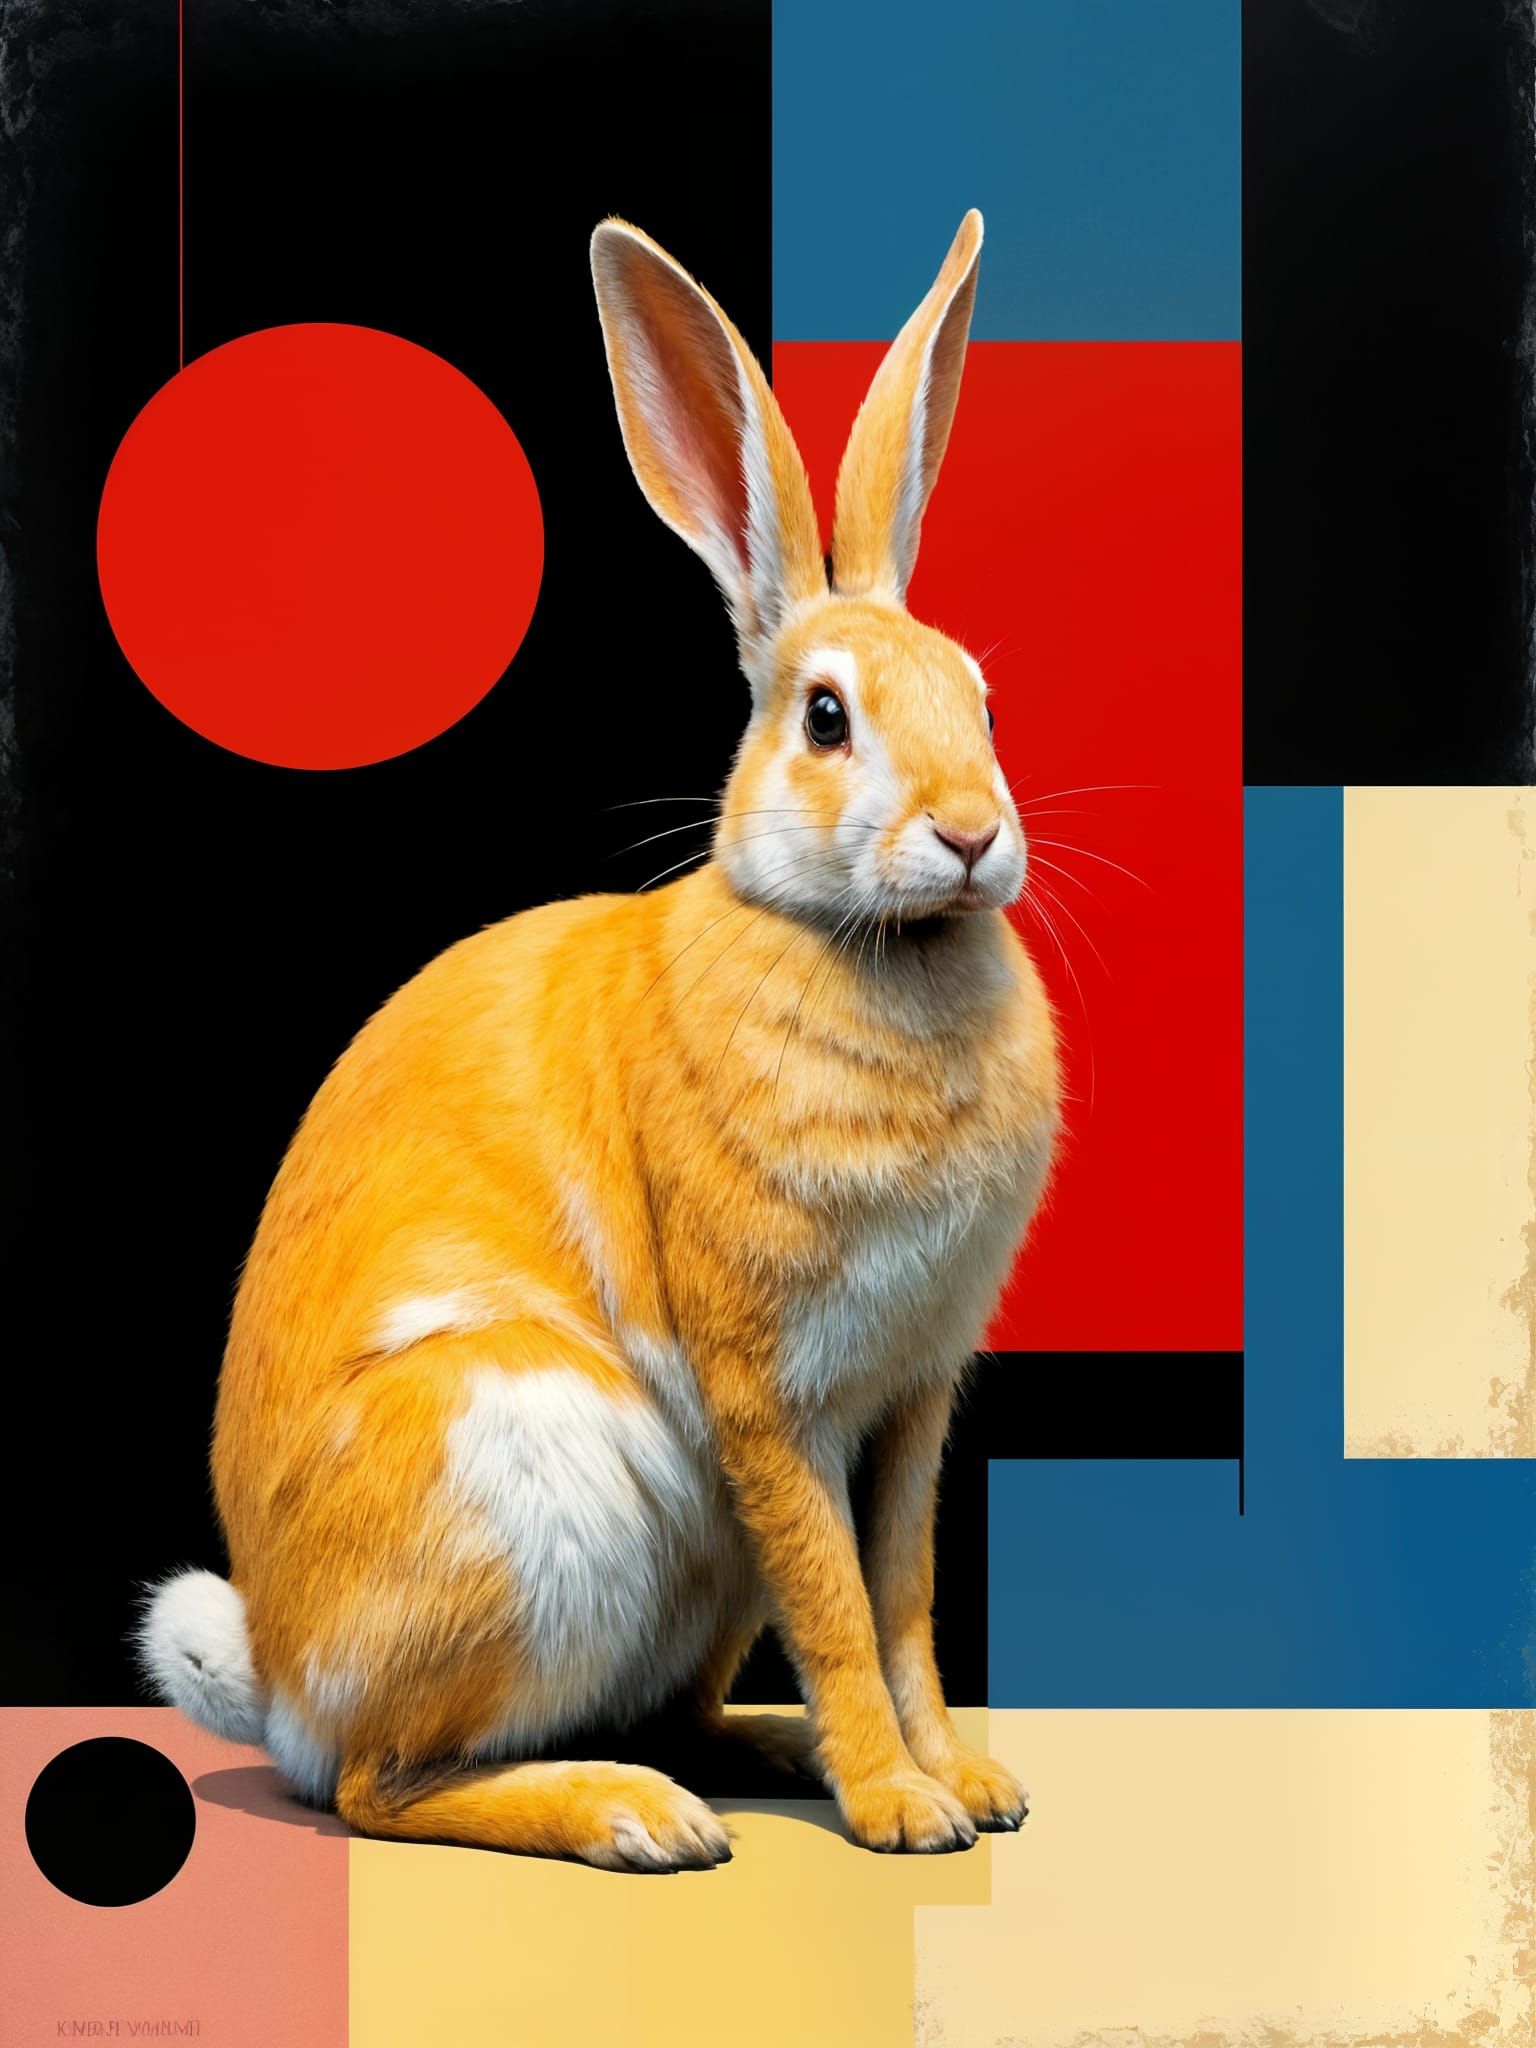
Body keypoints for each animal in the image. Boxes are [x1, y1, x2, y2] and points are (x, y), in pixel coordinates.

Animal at [138, 208, 1060, 1871]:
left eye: (985, 700)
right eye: (826, 719)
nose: (971, 835)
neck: (864, 945)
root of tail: (281, 1675)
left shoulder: (915, 1400)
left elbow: (900, 1602)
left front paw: (968, 1786)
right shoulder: (774, 1393)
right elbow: (840, 1606)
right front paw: (902, 1810)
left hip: (686, 1567)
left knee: (661, 1705)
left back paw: (753, 1754)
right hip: (539, 1492)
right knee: (380, 1787)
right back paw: (637, 1815)